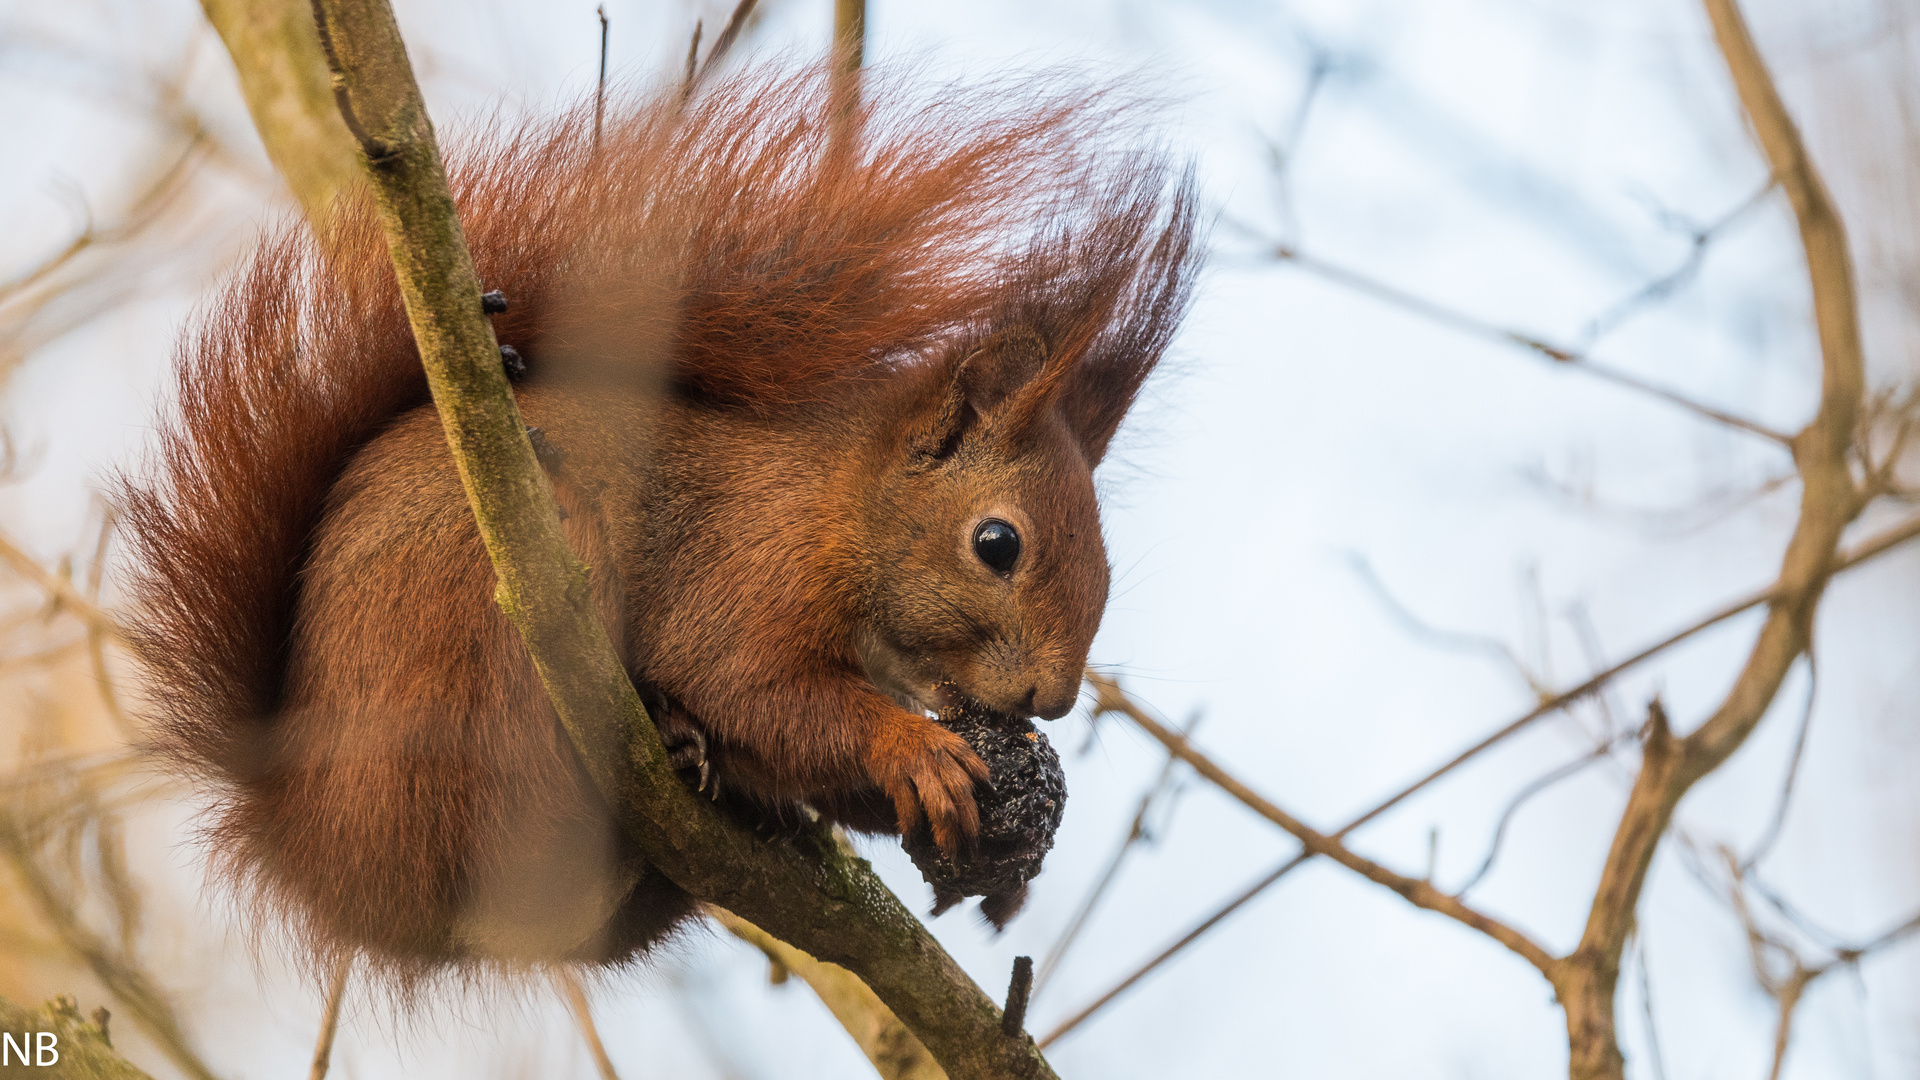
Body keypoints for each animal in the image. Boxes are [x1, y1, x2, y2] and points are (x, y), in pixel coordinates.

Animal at [116, 67, 1198, 976]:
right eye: (997, 544)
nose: (1053, 700)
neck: (835, 514)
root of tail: (316, 848)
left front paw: (998, 851)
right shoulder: (741, 567)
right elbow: (754, 688)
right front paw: (914, 749)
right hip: (483, 649)